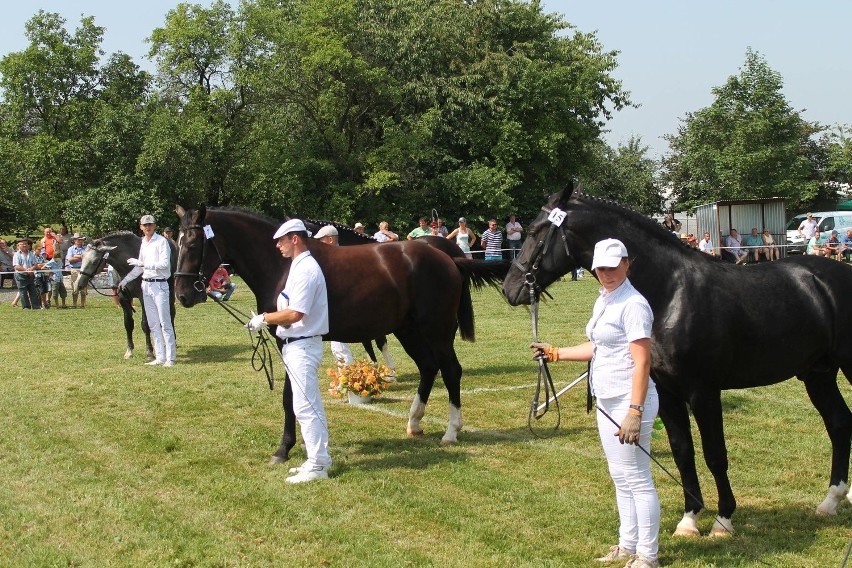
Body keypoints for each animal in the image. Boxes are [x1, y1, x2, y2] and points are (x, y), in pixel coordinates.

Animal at [172, 206, 506, 464]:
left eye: (194, 244)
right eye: (176, 241)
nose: (183, 294)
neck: (282, 264)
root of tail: (448, 259)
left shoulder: (287, 340)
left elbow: (290, 396)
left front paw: (284, 448)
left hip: (436, 331)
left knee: (451, 370)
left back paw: (451, 431)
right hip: (408, 331)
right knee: (428, 367)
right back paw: (414, 423)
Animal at [502, 183, 852, 536]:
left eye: (534, 231)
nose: (509, 288)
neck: (670, 292)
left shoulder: (703, 392)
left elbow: (714, 454)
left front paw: (723, 519)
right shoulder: (666, 392)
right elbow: (682, 451)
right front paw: (689, 519)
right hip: (817, 373)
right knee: (838, 423)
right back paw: (830, 501)